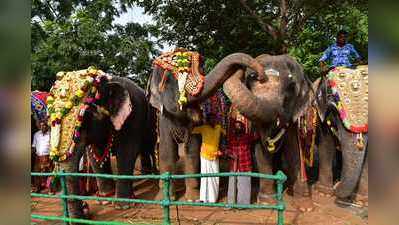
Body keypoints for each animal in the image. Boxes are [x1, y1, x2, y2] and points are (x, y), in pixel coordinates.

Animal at [47, 68, 157, 220]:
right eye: (48, 116)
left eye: (86, 115)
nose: (85, 207)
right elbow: (95, 155)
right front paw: (105, 200)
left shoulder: (134, 114)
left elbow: (127, 151)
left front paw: (123, 206)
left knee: (149, 146)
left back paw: (151, 175)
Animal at [147, 49, 266, 200]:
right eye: (168, 81)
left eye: (201, 70)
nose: (259, 76)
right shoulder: (163, 116)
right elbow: (166, 151)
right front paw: (166, 198)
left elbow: (192, 150)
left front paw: (193, 199)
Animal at [314, 66, 370, 205]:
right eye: (333, 100)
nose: (337, 184)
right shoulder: (321, 113)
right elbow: (326, 146)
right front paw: (324, 193)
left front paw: (362, 200)